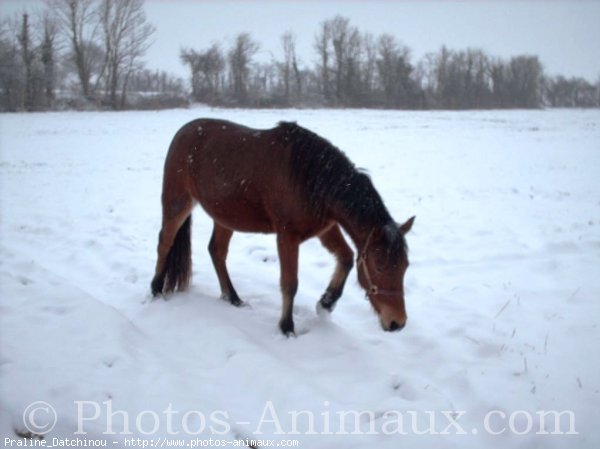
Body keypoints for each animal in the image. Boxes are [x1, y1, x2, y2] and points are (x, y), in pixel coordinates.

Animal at [151, 117, 412, 334]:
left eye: (405, 267)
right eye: (379, 267)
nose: (397, 322)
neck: (311, 178)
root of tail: (183, 131)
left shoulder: (325, 229)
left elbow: (346, 258)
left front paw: (326, 303)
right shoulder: (288, 236)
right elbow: (290, 283)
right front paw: (287, 327)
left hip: (224, 216)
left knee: (216, 251)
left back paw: (233, 298)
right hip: (177, 202)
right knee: (165, 241)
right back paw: (155, 289)